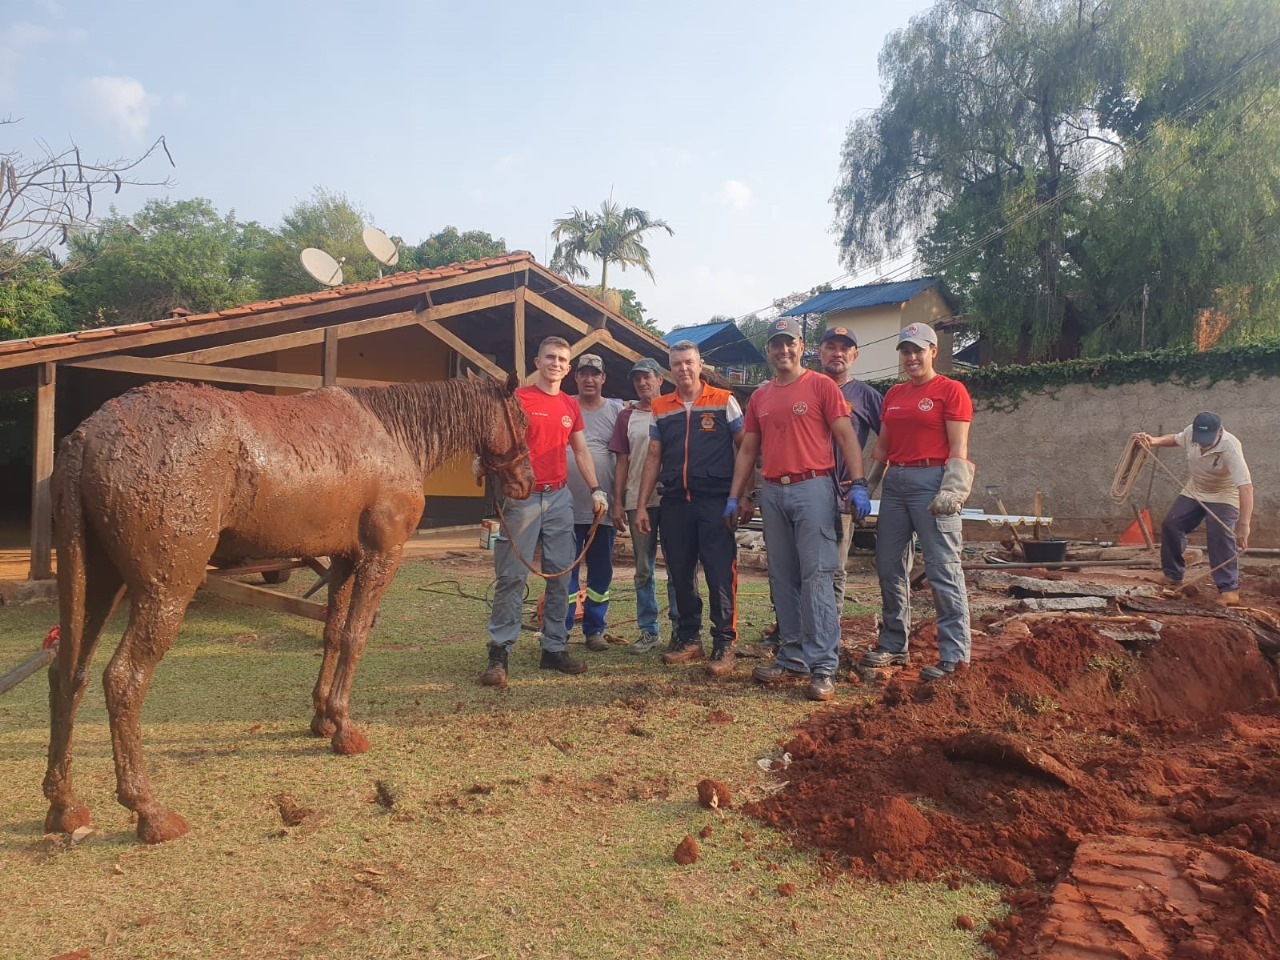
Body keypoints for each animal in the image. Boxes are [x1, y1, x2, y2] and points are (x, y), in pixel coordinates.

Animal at [40, 373, 529, 839]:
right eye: (523, 419)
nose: (526, 481)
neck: (392, 433)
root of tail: (86, 438)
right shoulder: (380, 557)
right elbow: (355, 637)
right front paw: (345, 729)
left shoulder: (344, 559)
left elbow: (333, 634)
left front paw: (322, 717)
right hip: (164, 591)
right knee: (123, 680)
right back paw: (149, 811)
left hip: (97, 585)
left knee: (68, 672)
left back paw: (64, 804)